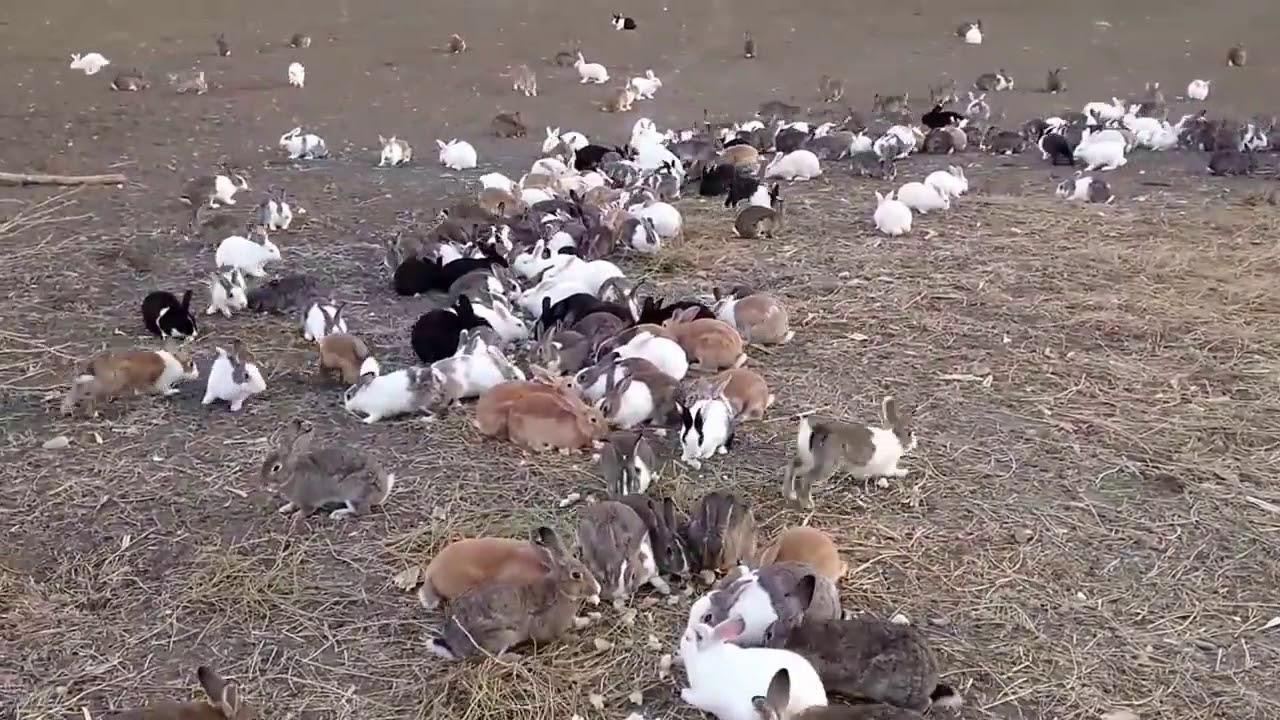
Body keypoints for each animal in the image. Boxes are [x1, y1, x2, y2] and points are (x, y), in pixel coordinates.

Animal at [61, 344, 199, 417]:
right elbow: (164, 389)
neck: (177, 362)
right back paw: (93, 414)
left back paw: (66, 409)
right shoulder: (161, 382)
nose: (197, 374)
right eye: (191, 364)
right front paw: (174, 391)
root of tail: (94, 365)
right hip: (109, 385)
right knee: (90, 397)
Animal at [261, 418, 394, 522]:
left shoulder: (308, 500)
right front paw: (284, 509)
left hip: (352, 491)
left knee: (362, 512)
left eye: (276, 468)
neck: (292, 473)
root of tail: (382, 493)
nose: (264, 483)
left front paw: (296, 516)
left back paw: (338, 514)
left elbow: (307, 510)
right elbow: (293, 504)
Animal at [428, 527, 601, 659]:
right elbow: (555, 635)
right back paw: (515, 657)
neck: (559, 589)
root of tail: (454, 648)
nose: (597, 589)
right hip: (502, 636)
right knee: (493, 658)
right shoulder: (549, 624)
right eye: (576, 575)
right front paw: (574, 638)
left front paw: (589, 620)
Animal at [783, 397, 918, 509]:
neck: (896, 439)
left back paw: (790, 494)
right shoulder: (888, 466)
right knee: (806, 479)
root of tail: (816, 431)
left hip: (809, 458)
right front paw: (904, 472)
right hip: (827, 464)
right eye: (910, 433)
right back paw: (808, 504)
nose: (915, 443)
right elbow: (892, 471)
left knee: (793, 467)